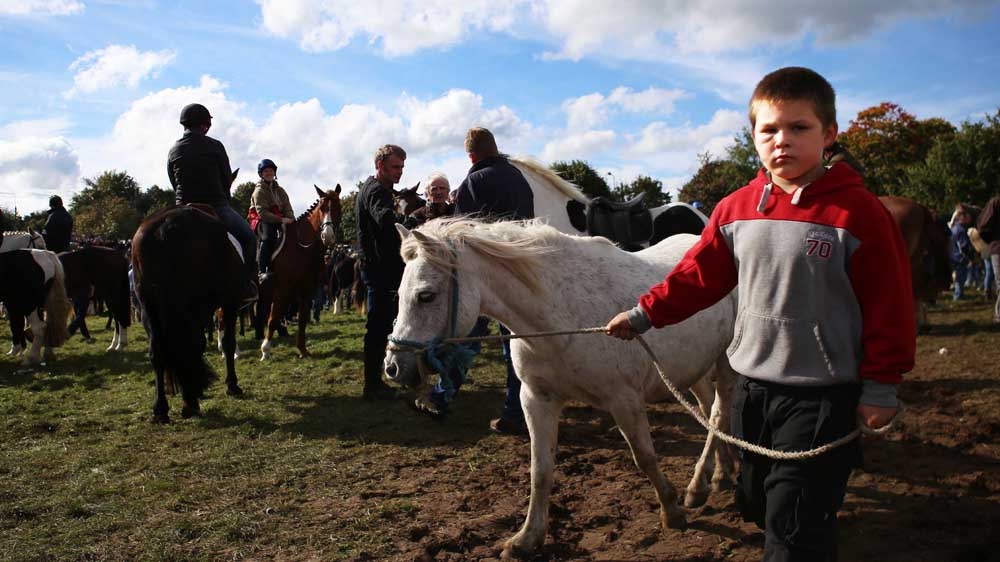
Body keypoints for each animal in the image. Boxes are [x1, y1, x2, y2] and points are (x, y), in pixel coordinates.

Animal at [131, 205, 245, 423]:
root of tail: (164, 230)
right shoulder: (228, 302)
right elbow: (226, 342)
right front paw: (231, 384)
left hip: (149, 307)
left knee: (158, 351)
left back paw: (162, 408)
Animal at [258, 185, 342, 360]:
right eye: (322, 208)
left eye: (337, 207)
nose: (327, 236)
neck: (300, 247)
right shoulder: (282, 288)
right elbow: (273, 317)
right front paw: (265, 351)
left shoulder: (307, 289)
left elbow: (303, 319)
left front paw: (303, 350)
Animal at [384, 219, 739, 558]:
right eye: (399, 295)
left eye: (426, 295)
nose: (393, 366)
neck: (561, 319)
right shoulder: (536, 400)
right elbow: (540, 471)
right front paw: (527, 539)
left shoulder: (624, 400)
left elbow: (646, 458)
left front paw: (671, 511)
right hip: (694, 368)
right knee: (710, 411)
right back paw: (720, 473)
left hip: (725, 362)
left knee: (720, 411)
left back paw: (697, 486)